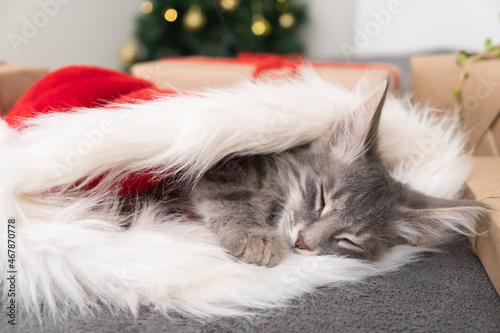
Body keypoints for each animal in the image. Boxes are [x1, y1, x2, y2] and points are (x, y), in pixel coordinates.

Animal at [188, 80, 488, 268]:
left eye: (347, 240)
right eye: (321, 199)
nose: (301, 242)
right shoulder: (224, 169)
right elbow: (234, 198)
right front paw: (254, 238)